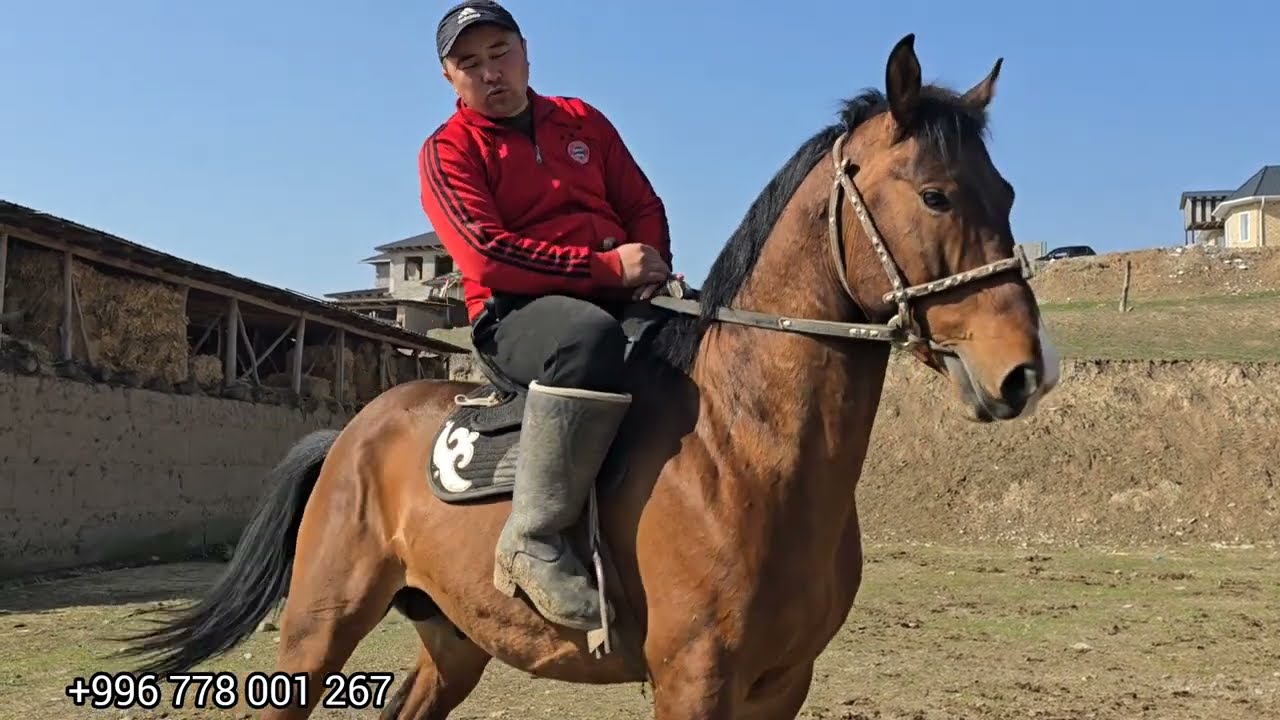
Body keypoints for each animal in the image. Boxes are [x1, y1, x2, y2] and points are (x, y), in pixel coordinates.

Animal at [121, 33, 1060, 719]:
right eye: (936, 195)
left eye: (1010, 193)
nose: (1023, 373)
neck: (740, 451)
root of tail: (352, 432)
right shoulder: (695, 684)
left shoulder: (782, 686)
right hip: (315, 635)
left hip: (453, 641)